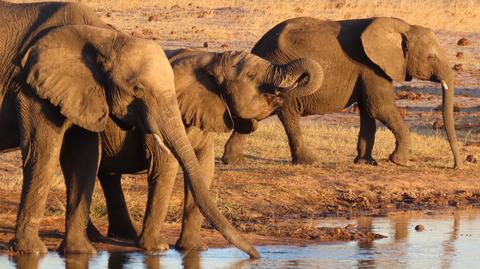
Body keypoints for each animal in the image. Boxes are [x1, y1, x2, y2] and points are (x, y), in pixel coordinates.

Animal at [0, 2, 258, 258]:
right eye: (137, 89)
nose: (255, 255)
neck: (104, 38)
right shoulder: (31, 86)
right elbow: (43, 150)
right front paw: (32, 251)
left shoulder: (85, 92)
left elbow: (83, 158)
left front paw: (80, 252)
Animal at [86, 48, 324, 249]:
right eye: (251, 76)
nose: (286, 88)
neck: (210, 60)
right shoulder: (153, 114)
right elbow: (165, 166)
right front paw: (155, 248)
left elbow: (203, 167)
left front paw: (193, 249)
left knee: (108, 177)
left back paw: (119, 236)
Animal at [223, 16, 464, 168]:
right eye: (431, 57)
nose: (455, 166)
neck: (403, 26)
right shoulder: (371, 66)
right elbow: (380, 107)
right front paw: (399, 162)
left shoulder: (369, 69)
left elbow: (368, 111)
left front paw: (366, 162)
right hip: (285, 76)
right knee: (289, 115)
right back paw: (309, 162)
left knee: (256, 115)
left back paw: (232, 161)